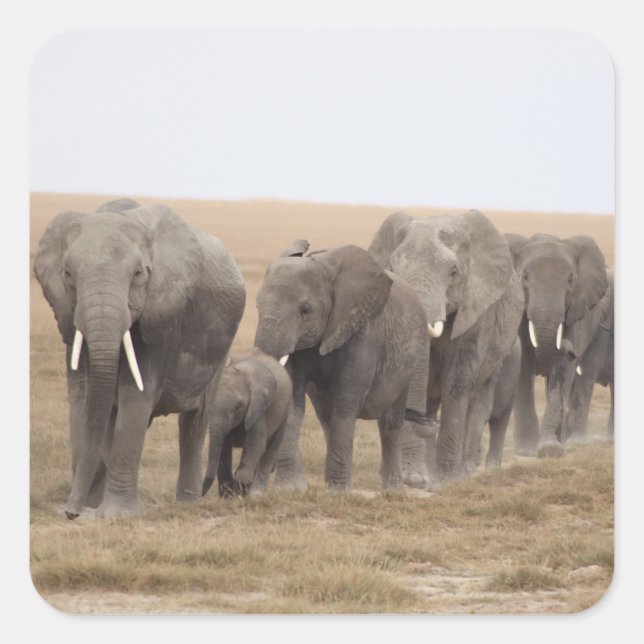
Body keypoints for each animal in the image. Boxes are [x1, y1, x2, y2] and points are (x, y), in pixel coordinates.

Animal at [34, 198, 245, 518]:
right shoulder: (69, 315)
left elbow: (135, 394)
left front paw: (114, 514)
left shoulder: (164, 315)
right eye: (68, 274)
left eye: (138, 274)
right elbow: (83, 394)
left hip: (220, 348)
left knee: (195, 422)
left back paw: (187, 502)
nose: (71, 512)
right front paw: (92, 505)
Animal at [202, 348, 293, 498]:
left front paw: (240, 493)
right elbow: (223, 449)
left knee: (270, 451)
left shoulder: (258, 409)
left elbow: (256, 445)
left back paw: (256, 494)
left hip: (284, 413)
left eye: (239, 406)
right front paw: (228, 496)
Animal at [253, 242, 430, 491]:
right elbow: (294, 405)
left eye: (305, 310)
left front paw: (338, 491)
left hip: (408, 363)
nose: (267, 471)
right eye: (257, 307)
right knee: (327, 417)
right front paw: (291, 488)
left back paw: (393, 490)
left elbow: (346, 400)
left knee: (390, 423)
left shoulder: (364, 329)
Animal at [368, 210, 524, 485]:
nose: (428, 423)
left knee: (477, 403)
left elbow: (456, 382)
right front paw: (412, 478)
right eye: (391, 269)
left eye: (453, 273)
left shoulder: (476, 309)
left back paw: (464, 471)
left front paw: (447, 480)